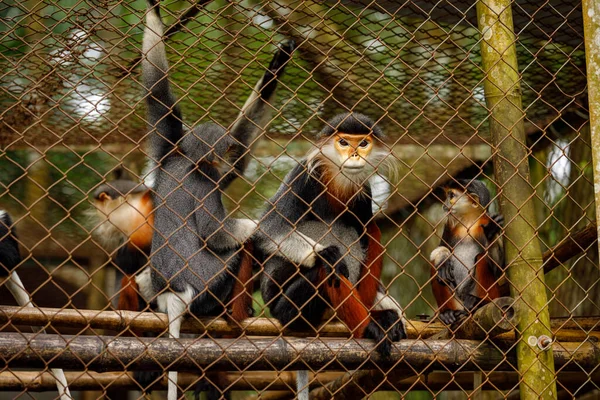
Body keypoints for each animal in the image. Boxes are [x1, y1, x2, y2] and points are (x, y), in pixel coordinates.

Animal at [136, 3, 296, 400]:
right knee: (239, 250)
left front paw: (154, 12)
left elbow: (157, 92)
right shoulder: (205, 180)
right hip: (208, 286)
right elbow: (216, 232)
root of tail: (174, 293)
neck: (188, 162)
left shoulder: (168, 149)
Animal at [255, 112, 406, 366]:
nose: (354, 155)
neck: (337, 179)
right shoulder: (302, 176)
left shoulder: (363, 191)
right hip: (289, 309)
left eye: (363, 143)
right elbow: (268, 230)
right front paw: (325, 254)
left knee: (369, 230)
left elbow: (368, 231)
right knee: (329, 269)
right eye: (343, 143)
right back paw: (369, 327)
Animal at [426, 180, 506, 326]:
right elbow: (441, 248)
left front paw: (491, 232)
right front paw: (443, 259)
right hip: (456, 302)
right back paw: (447, 313)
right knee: (437, 269)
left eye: (451, 195)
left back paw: (480, 302)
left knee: (481, 258)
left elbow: (499, 269)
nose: (444, 205)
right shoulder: (449, 226)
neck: (469, 222)